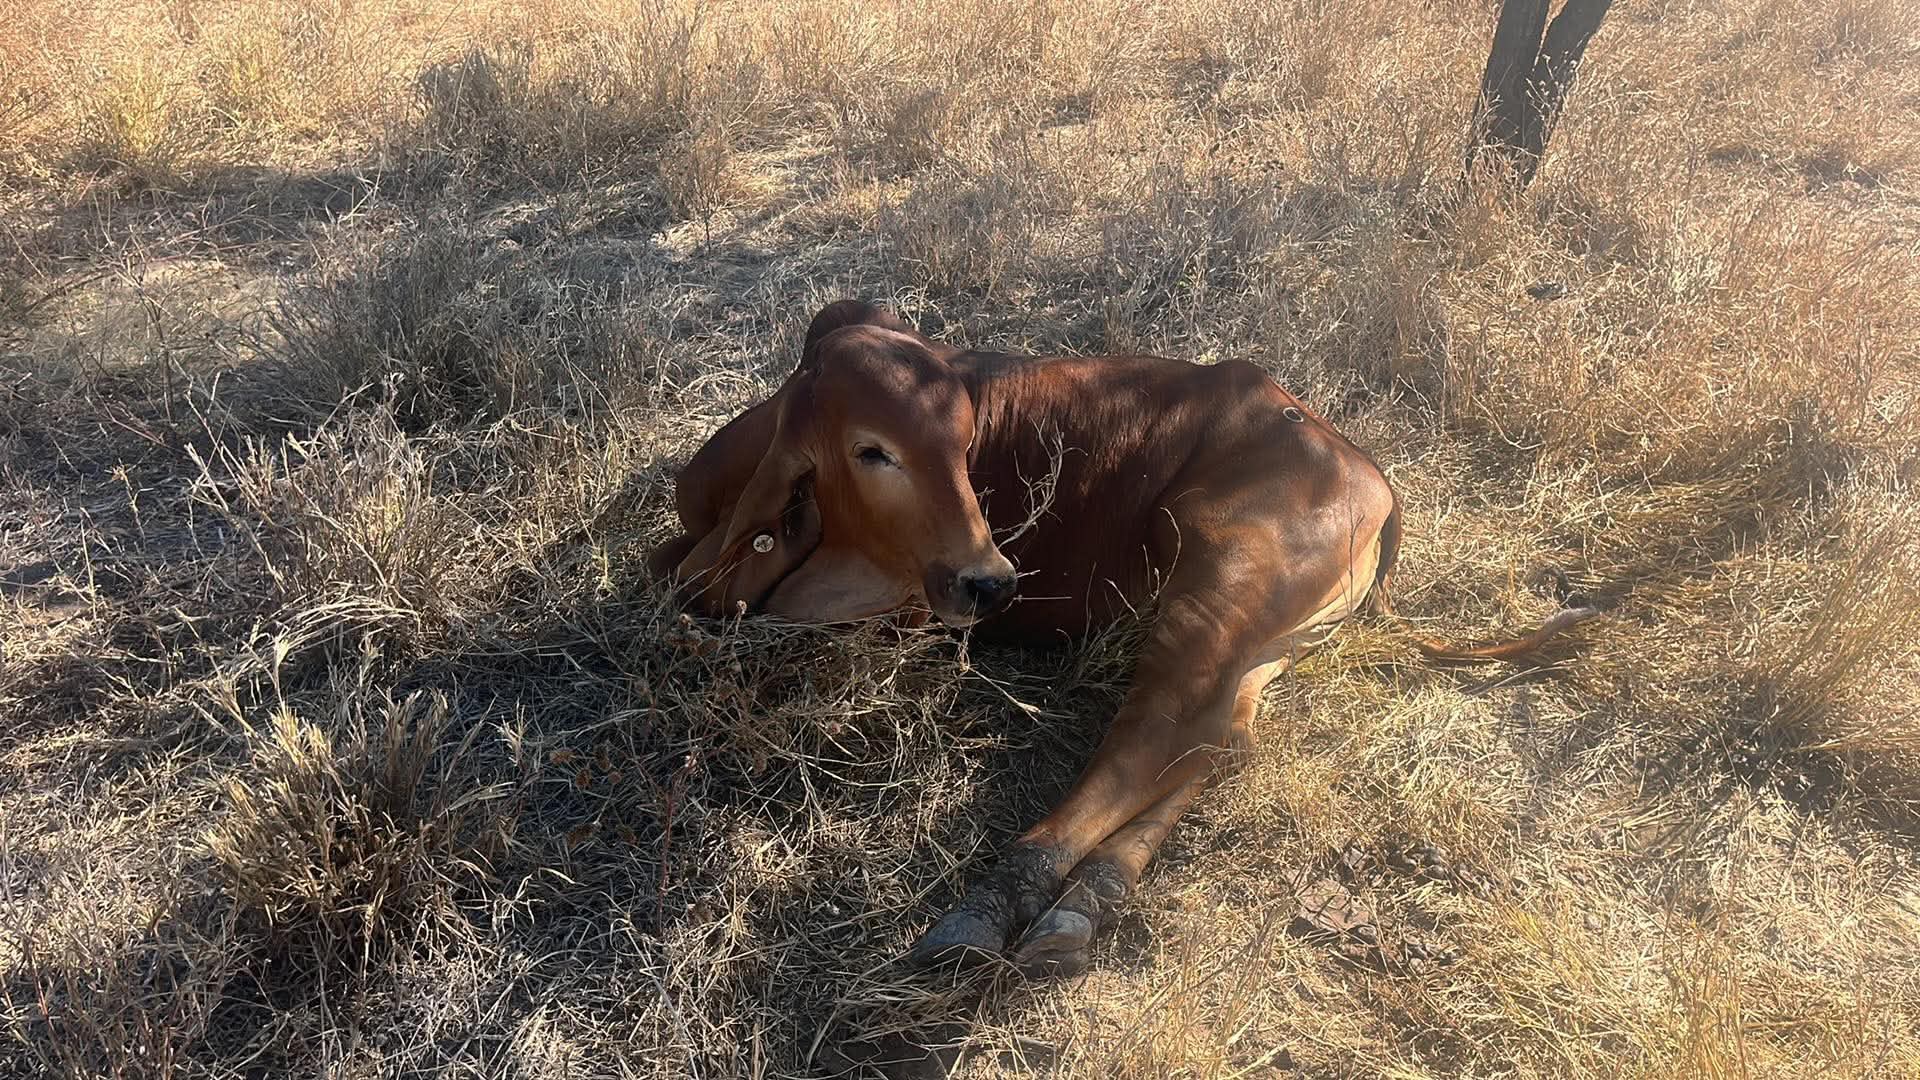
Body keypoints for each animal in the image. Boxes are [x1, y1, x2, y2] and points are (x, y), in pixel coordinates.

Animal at [647, 299, 1595, 977]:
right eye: (872, 449)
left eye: (965, 440)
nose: (990, 579)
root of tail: (1370, 477)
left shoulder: (903, 609)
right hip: (1260, 646)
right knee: (1219, 740)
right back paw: (1088, 903)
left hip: (1218, 587)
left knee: (1153, 733)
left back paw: (999, 904)